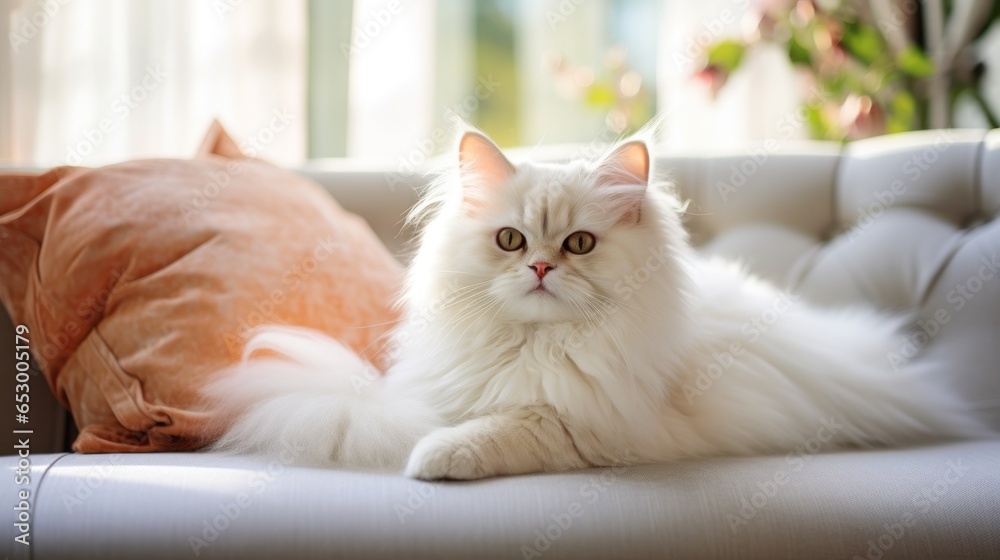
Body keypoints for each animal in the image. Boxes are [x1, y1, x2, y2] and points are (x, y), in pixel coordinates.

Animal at [207, 129, 980, 480]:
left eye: (579, 243)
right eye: (511, 239)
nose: (542, 266)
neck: (537, 347)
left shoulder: (600, 430)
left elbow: (508, 427)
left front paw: (436, 457)